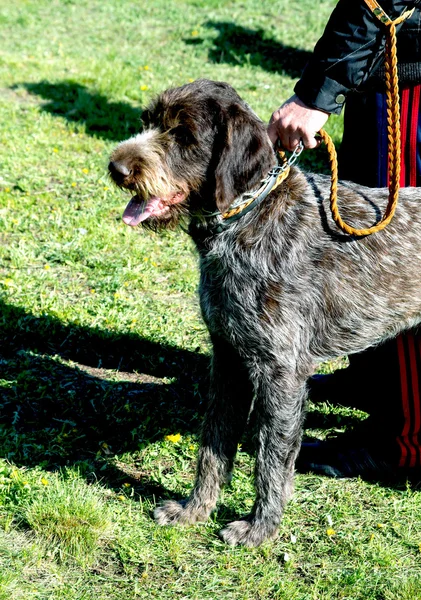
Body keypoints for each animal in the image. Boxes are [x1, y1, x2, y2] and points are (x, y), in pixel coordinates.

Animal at [106, 77, 420, 548]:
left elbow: (270, 459)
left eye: (183, 135)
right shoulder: (229, 358)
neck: (247, 219)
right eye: (149, 121)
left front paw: (260, 529)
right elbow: (213, 446)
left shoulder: (281, 372)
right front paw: (194, 510)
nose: (116, 167)